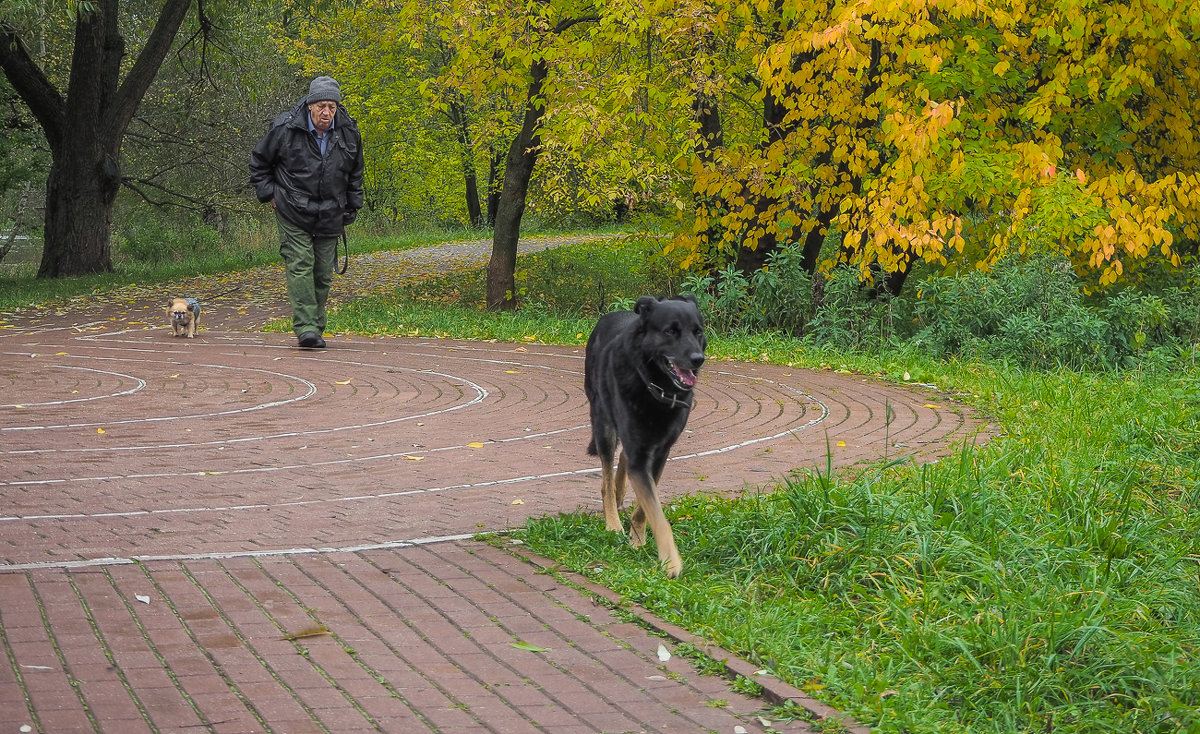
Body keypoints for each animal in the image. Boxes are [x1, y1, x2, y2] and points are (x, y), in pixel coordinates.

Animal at [585, 295, 705, 575]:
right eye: (670, 331)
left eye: (698, 332)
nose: (698, 359)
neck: (656, 387)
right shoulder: (640, 456)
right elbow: (657, 515)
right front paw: (671, 560)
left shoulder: (659, 453)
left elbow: (644, 509)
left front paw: (638, 540)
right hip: (603, 426)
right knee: (606, 480)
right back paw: (612, 522)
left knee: (621, 466)